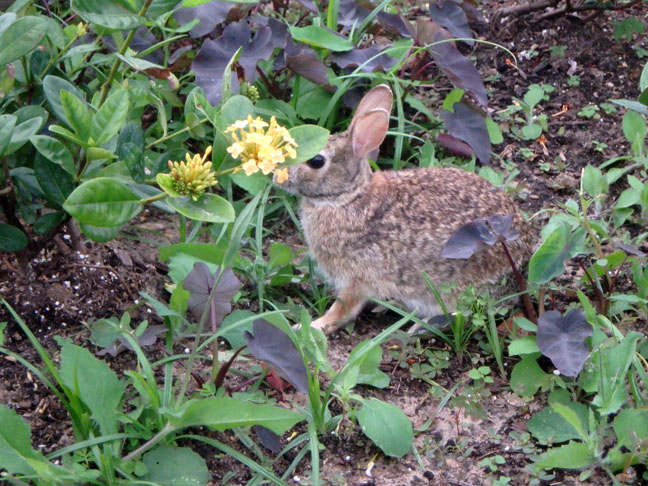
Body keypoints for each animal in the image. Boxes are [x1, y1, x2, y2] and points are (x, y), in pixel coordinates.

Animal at [275, 84, 534, 335]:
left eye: (316, 161)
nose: (279, 175)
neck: (349, 198)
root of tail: (523, 260)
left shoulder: (357, 277)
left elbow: (343, 310)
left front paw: (311, 326)